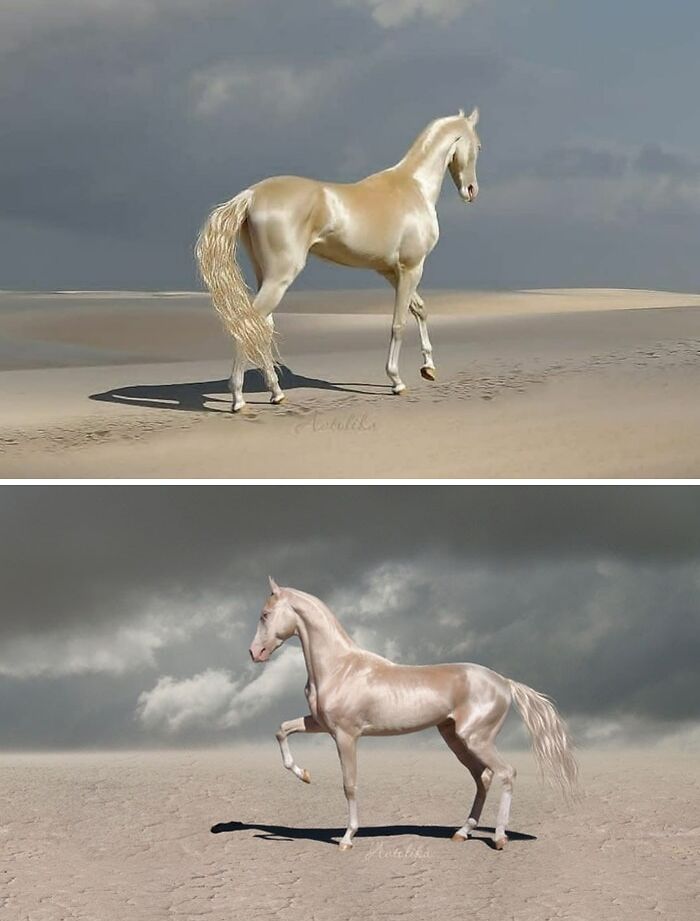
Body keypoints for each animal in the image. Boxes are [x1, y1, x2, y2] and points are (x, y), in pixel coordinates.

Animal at [195, 109, 481, 412]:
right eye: (478, 146)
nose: (471, 190)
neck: (413, 187)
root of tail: (251, 195)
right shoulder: (411, 268)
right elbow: (399, 323)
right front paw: (396, 381)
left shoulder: (391, 271)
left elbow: (420, 310)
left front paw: (428, 368)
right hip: (280, 277)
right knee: (248, 324)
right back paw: (238, 399)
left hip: (266, 276)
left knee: (261, 327)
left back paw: (276, 393)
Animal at [249, 578, 579, 851]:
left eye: (264, 615)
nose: (255, 653)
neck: (340, 668)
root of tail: (504, 682)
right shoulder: (320, 724)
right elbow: (282, 729)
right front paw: (304, 775)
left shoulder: (346, 736)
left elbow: (349, 784)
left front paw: (347, 838)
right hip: (455, 739)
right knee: (482, 778)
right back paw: (462, 833)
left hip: (476, 739)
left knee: (506, 773)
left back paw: (499, 838)